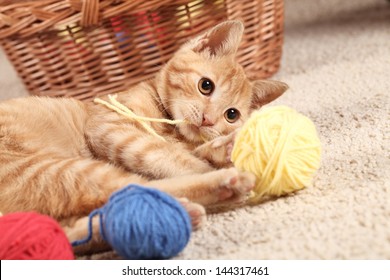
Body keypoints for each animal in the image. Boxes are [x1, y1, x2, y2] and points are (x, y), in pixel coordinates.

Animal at [0, 21, 286, 248]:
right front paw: (215, 164)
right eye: (206, 85)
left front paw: (223, 148)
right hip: (58, 171)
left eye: (231, 115)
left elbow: (192, 151)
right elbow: (172, 157)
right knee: (137, 187)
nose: (208, 119)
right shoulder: (110, 126)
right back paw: (225, 185)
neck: (170, 128)